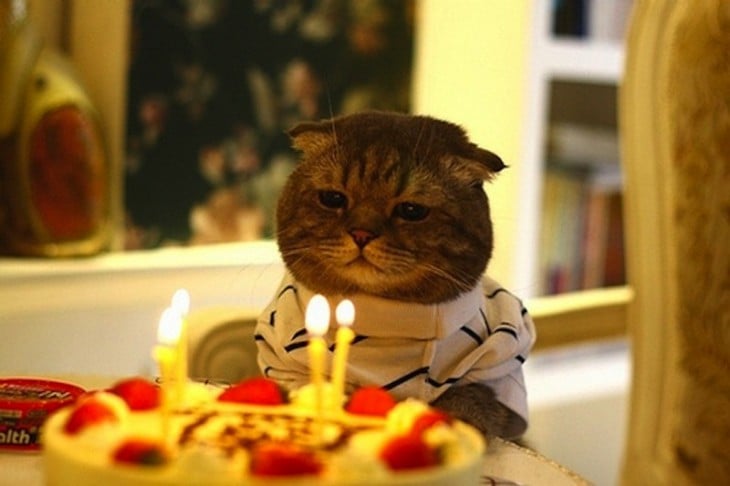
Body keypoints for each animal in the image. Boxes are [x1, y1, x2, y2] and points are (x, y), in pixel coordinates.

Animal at [256, 111, 536, 440]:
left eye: (412, 210)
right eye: (333, 198)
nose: (361, 233)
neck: (386, 323)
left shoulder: (502, 373)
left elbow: (471, 398)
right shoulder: (282, 366)